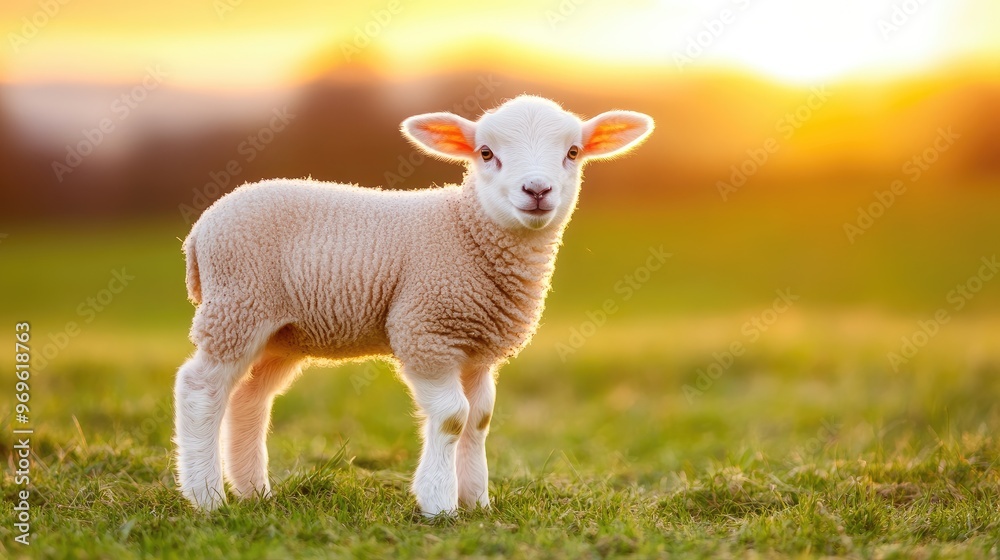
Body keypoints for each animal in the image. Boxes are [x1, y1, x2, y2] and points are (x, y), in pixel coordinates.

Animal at [174, 94, 653, 516]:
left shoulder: (476, 349)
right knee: (200, 388)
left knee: (249, 398)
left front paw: (477, 500)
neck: (467, 230)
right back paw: (207, 497)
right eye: (486, 153)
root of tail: (199, 232)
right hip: (238, 304)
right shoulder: (425, 331)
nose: (537, 189)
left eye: (573, 152)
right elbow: (453, 418)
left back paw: (254, 492)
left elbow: (480, 419)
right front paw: (439, 504)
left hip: (279, 332)